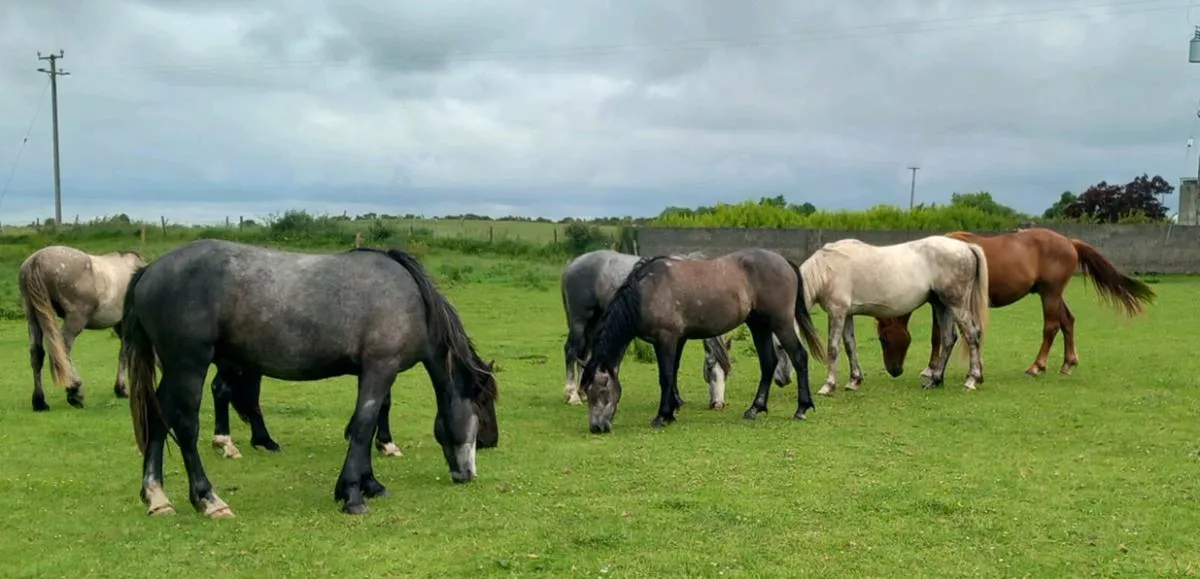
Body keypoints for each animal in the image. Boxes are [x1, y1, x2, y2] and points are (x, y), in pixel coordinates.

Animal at [18, 245, 144, 411]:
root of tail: (36, 260)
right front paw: (122, 389)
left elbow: (124, 352)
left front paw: (120, 388)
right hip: (75, 319)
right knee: (63, 347)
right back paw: (74, 390)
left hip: (33, 317)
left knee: (36, 354)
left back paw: (39, 401)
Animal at [119, 239, 499, 517]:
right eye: (481, 408)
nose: (470, 471)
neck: (413, 300)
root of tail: (149, 270)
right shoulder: (381, 367)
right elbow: (363, 426)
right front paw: (352, 495)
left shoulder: (374, 373)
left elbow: (370, 423)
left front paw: (370, 484)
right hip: (188, 366)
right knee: (185, 425)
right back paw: (208, 499)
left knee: (158, 416)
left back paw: (157, 497)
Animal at [578, 248, 826, 434]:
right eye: (586, 392)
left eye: (602, 389)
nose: (596, 427)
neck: (647, 291)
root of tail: (783, 261)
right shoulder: (674, 340)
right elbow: (673, 373)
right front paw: (671, 412)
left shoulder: (666, 339)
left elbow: (665, 377)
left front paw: (661, 416)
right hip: (759, 326)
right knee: (768, 363)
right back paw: (755, 409)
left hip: (780, 322)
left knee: (799, 356)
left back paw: (802, 408)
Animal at [800, 236, 989, 395]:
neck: (826, 269)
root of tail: (966, 247)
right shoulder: (846, 314)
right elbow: (849, 346)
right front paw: (854, 381)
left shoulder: (836, 312)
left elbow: (832, 348)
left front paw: (828, 385)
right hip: (942, 305)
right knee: (949, 338)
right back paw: (935, 380)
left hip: (956, 305)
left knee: (971, 335)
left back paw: (971, 379)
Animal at [875, 228, 1156, 379]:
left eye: (883, 339)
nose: (894, 370)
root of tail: (1069, 242)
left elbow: (938, 336)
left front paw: (931, 369)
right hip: (1052, 294)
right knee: (1068, 321)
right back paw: (1067, 363)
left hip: (1049, 294)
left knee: (1052, 326)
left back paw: (1036, 366)